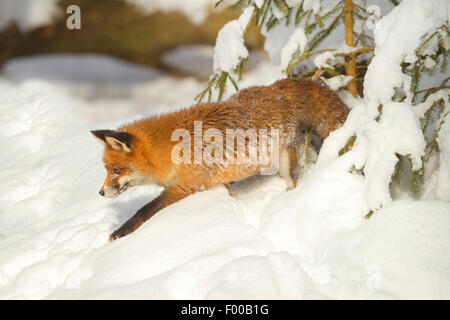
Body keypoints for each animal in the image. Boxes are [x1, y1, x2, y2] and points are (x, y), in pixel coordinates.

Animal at [91, 79, 348, 240]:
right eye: (106, 169)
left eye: (116, 169)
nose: (101, 193)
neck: (170, 151)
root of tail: (275, 86)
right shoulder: (214, 181)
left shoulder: (187, 186)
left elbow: (145, 210)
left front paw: (121, 232)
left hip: (285, 160)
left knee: (293, 182)